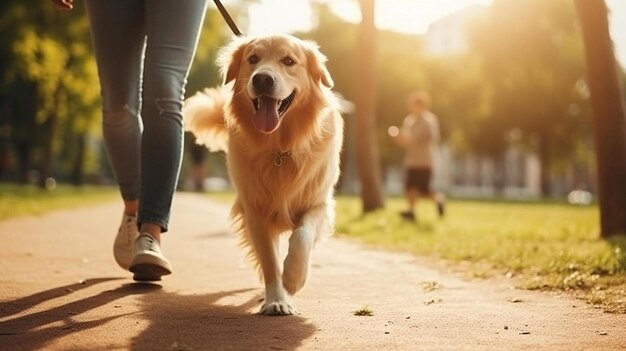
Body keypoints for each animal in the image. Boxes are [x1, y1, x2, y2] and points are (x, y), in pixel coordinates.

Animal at [182, 35, 342, 316]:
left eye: (289, 61)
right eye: (253, 59)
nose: (263, 79)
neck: (279, 148)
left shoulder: (318, 204)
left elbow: (301, 237)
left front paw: (293, 277)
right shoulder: (255, 210)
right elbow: (269, 260)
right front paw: (276, 299)